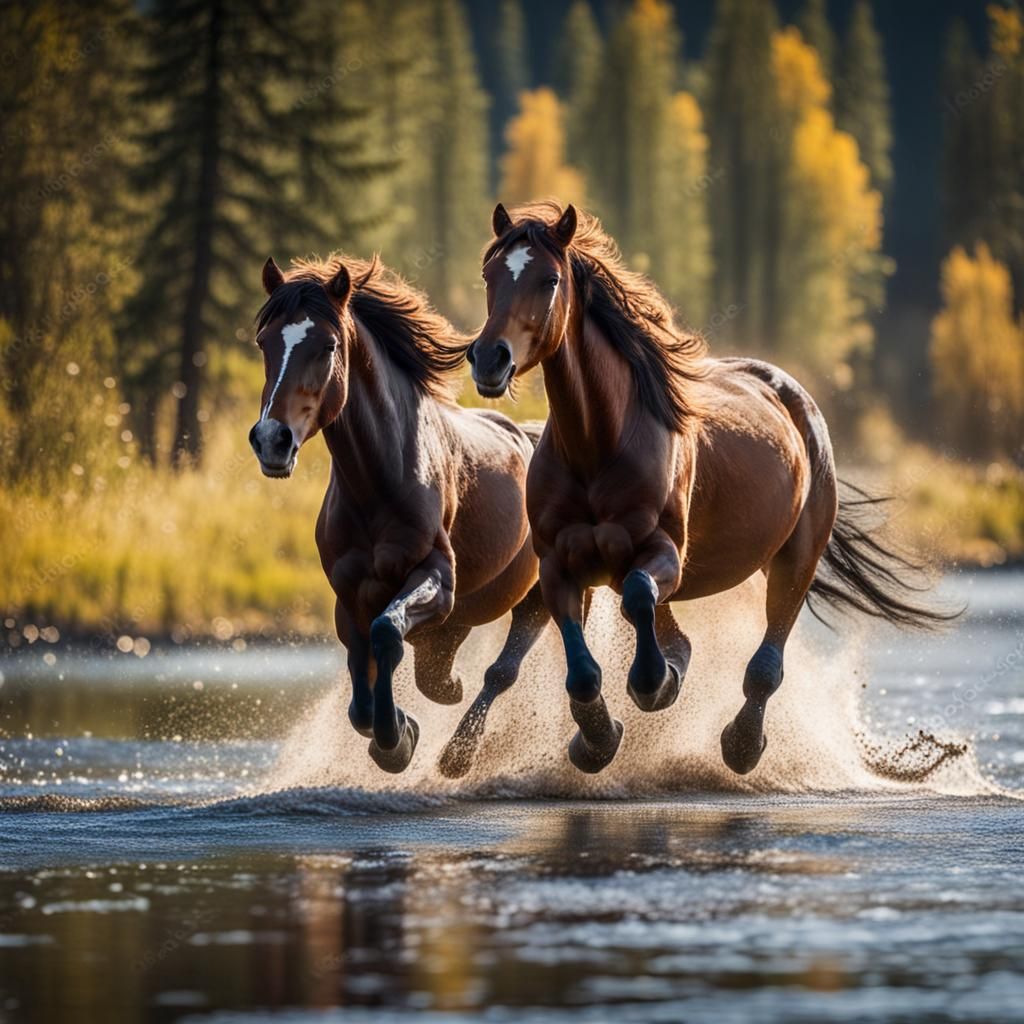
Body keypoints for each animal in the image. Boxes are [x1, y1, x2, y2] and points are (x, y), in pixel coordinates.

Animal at [249, 253, 549, 775]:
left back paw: (461, 753)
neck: (379, 483)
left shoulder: (435, 579)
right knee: (439, 668)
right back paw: (448, 692)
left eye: (328, 345)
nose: (271, 439)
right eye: (264, 341)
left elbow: (386, 634)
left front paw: (397, 740)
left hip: (538, 598)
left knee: (502, 670)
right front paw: (396, 728)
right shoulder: (350, 594)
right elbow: (359, 680)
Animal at [467, 200, 948, 775]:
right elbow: (583, 670)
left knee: (765, 660)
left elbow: (639, 600)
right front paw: (596, 741)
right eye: (490, 275)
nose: (489, 358)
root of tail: (793, 396)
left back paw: (742, 744)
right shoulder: (559, 563)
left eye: (550, 279)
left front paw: (652, 684)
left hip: (796, 556)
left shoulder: (664, 553)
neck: (598, 447)